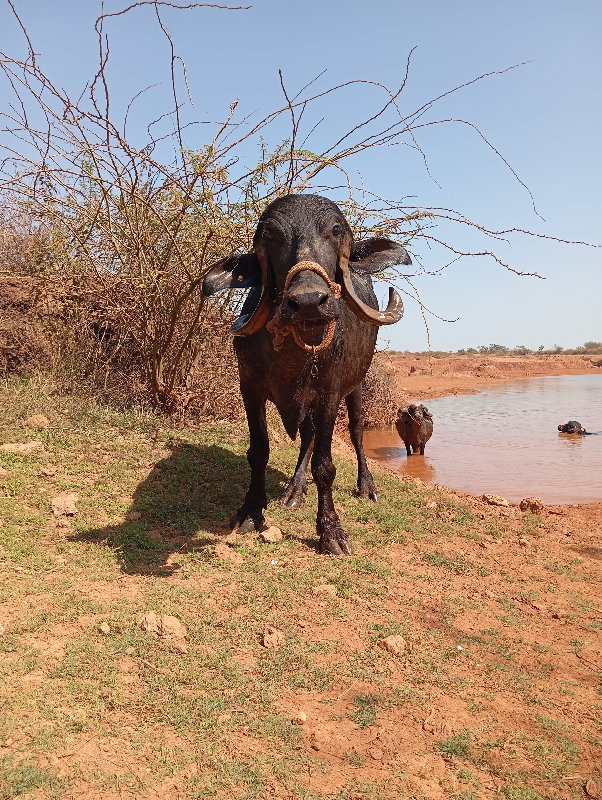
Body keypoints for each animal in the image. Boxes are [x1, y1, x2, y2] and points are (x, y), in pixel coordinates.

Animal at [203, 195, 408, 556]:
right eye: (271, 235)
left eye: (336, 230)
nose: (310, 300)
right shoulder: (249, 387)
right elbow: (259, 451)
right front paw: (251, 510)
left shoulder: (329, 393)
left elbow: (325, 466)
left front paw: (330, 532)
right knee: (308, 436)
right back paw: (295, 490)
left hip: (357, 386)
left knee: (356, 432)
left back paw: (366, 486)